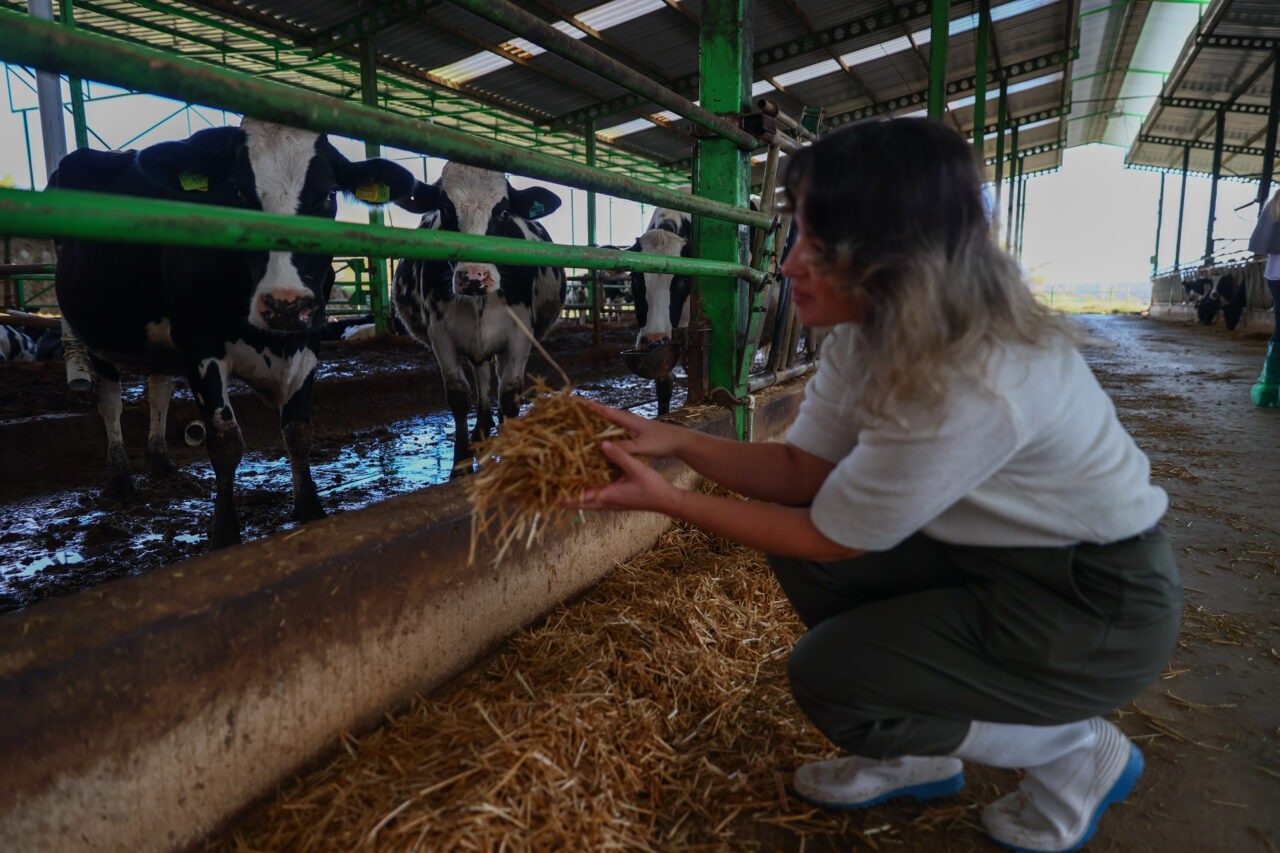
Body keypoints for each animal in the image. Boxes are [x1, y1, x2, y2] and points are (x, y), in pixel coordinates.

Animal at [51, 117, 430, 545]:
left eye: (329, 195)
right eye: (237, 191)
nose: (284, 303)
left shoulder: (309, 337)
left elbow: (298, 430)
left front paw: (310, 512)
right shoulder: (198, 341)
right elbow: (225, 439)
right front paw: (225, 534)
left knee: (158, 390)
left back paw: (161, 462)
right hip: (94, 330)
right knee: (110, 401)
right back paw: (119, 478)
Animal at [391, 159, 568, 471]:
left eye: (504, 211)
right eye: (445, 209)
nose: (474, 276)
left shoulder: (519, 333)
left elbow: (509, 394)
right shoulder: (440, 336)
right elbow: (459, 396)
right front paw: (461, 462)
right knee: (482, 376)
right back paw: (483, 426)